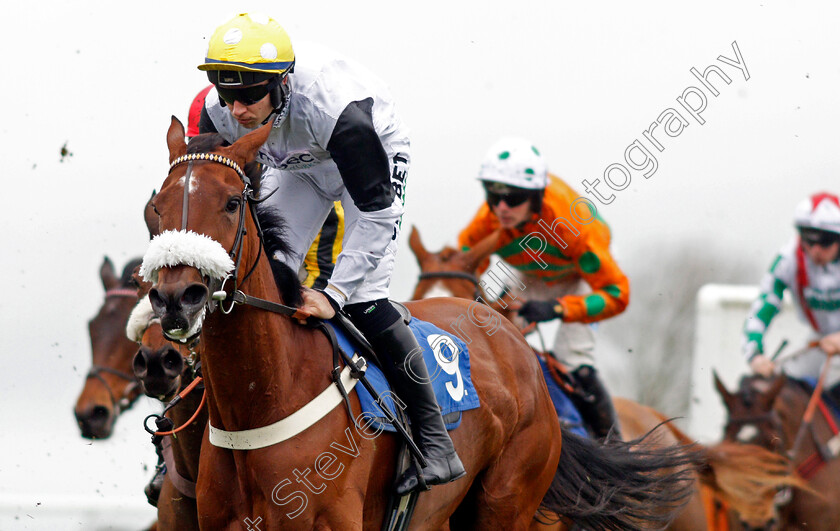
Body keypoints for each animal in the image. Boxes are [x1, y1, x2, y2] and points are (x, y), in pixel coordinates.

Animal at [139, 119, 704, 531]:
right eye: (154, 209)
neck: (262, 402)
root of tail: (509, 339)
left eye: (232, 203)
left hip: (507, 502)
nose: (176, 298)